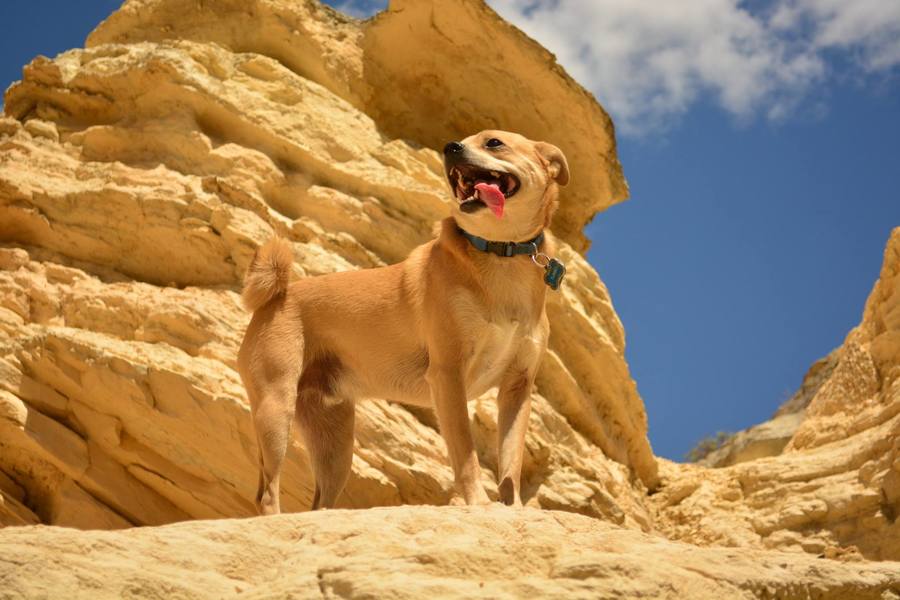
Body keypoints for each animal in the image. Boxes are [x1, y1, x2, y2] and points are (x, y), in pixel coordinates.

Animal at [236, 131, 568, 516]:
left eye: (494, 142)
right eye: (461, 142)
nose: (450, 148)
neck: (501, 253)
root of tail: (276, 296)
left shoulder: (517, 387)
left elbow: (510, 461)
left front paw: (512, 509)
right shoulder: (448, 374)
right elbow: (466, 454)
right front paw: (478, 503)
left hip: (333, 440)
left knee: (320, 503)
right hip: (276, 407)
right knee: (266, 492)